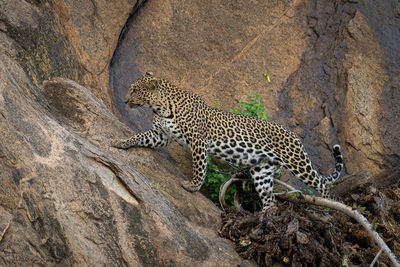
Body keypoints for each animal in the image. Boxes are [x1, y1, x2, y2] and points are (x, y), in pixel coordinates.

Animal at [112, 73, 344, 214]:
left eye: (135, 90)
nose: (125, 101)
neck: (161, 107)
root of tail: (295, 136)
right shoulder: (161, 135)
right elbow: (140, 137)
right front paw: (120, 142)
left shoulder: (198, 142)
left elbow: (199, 169)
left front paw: (192, 187)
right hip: (262, 171)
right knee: (270, 199)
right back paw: (264, 217)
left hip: (298, 163)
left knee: (323, 185)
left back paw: (329, 208)